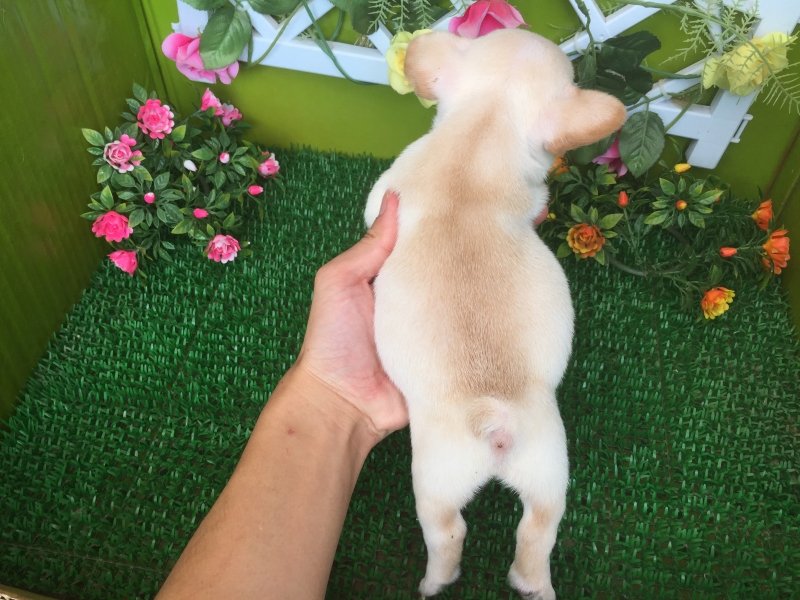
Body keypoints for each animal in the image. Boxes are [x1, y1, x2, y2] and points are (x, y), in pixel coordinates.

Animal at [364, 29, 626, 598]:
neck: (483, 131)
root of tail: (494, 420)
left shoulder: (385, 194)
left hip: (436, 482)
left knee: (447, 533)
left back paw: (435, 582)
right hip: (548, 469)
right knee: (537, 531)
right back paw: (533, 584)